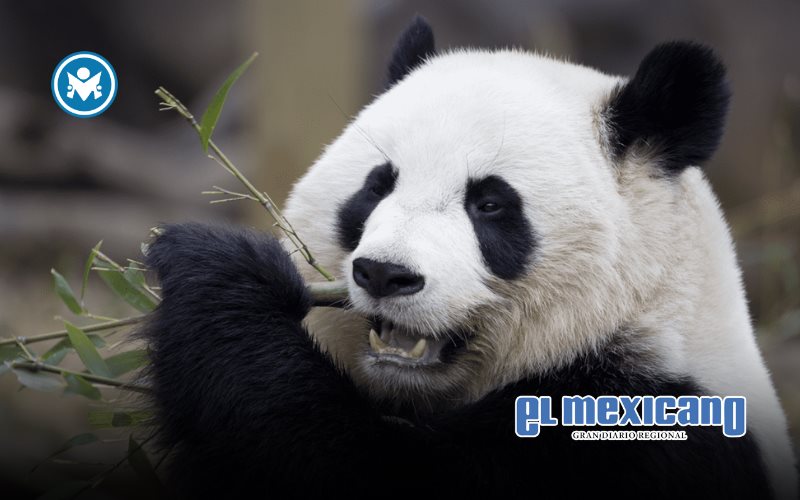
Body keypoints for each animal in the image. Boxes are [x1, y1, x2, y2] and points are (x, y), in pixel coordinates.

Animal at [141, 17, 798, 499]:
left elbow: (363, 465)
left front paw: (219, 271)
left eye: (490, 204)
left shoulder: (645, 431)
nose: (386, 274)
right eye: (376, 186)